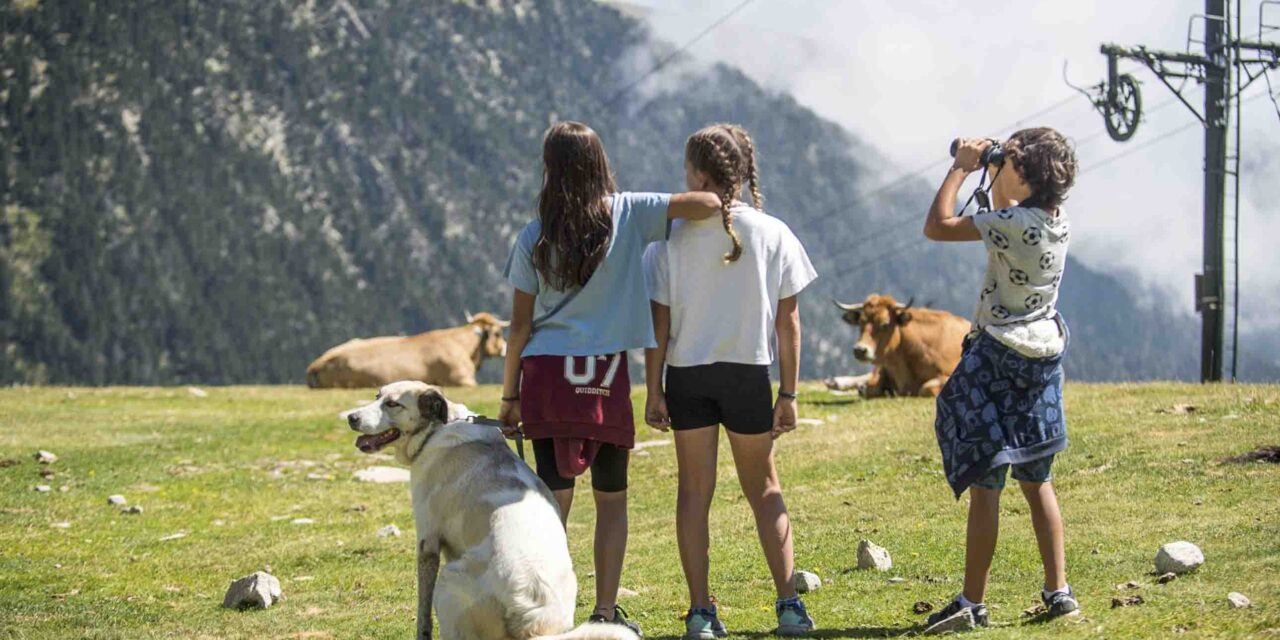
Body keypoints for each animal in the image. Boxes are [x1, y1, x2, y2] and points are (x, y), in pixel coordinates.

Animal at [343, 381, 637, 637]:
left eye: (392, 404)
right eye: (377, 396)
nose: (351, 417)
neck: (436, 429)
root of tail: (532, 617)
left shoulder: (427, 542)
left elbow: (422, 615)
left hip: (449, 580)